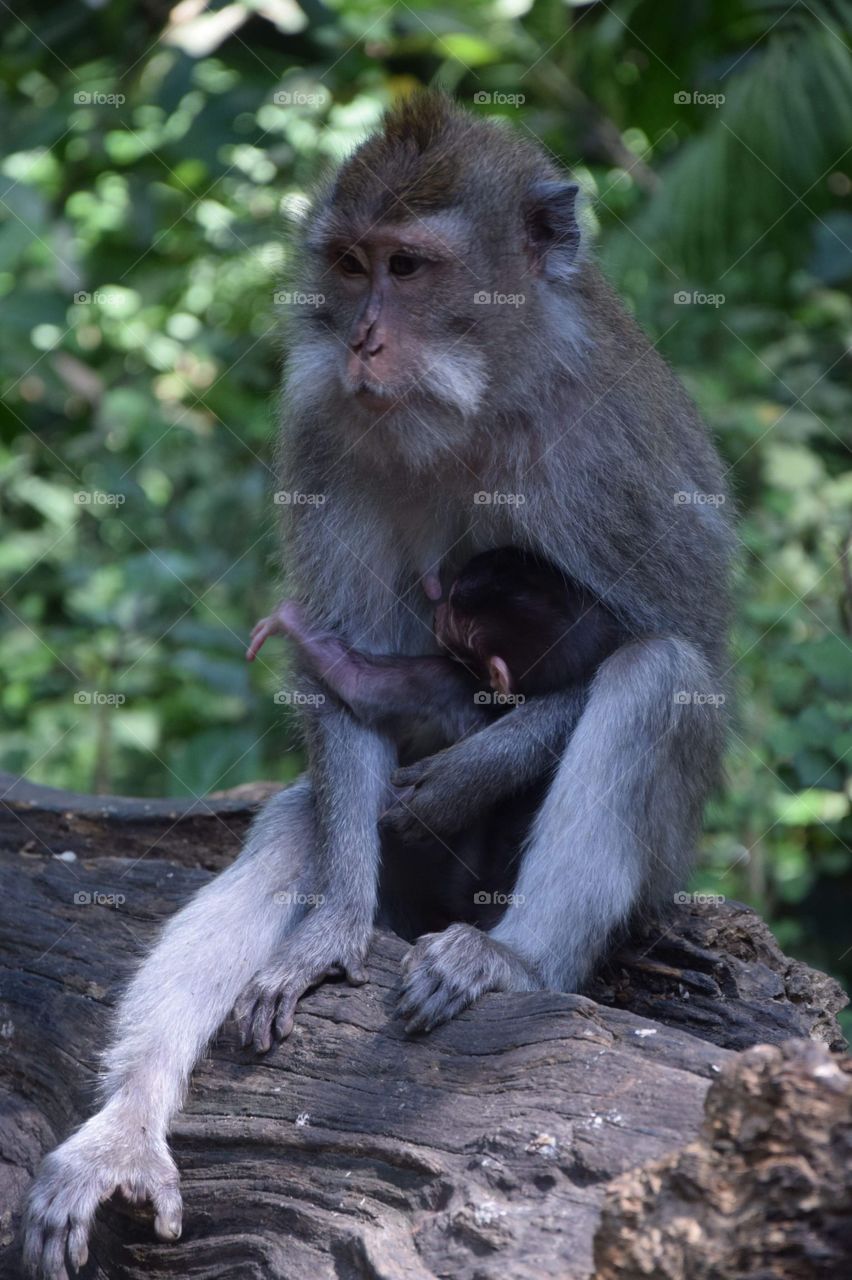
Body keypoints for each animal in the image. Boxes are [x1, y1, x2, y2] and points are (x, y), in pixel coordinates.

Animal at [24, 93, 732, 1277]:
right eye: (352, 265)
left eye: (410, 266)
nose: (361, 337)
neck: (482, 398)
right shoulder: (324, 427)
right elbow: (344, 685)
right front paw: (329, 931)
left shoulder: (619, 459)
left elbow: (687, 655)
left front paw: (469, 771)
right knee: (296, 818)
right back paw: (129, 1122)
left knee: (654, 675)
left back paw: (508, 958)